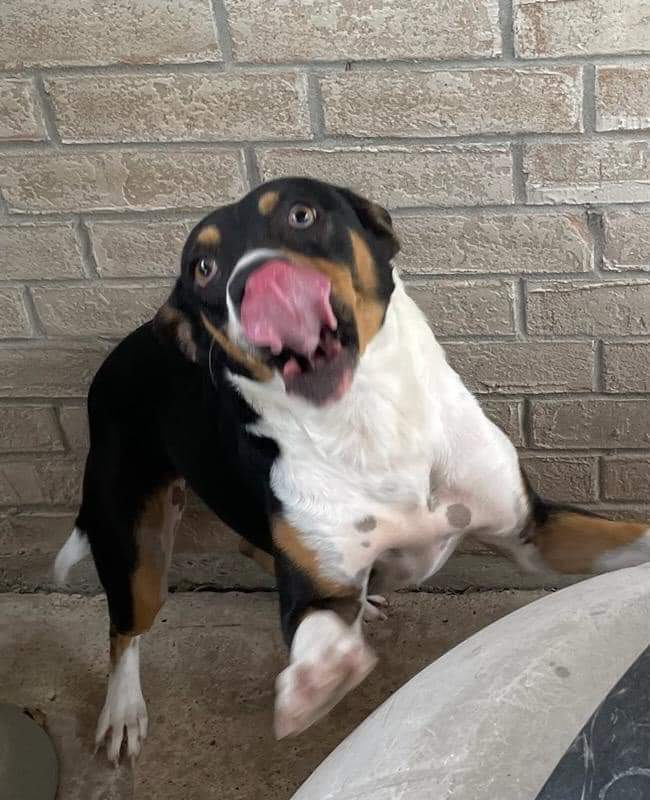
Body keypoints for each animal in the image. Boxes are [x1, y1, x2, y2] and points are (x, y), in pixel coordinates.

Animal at [54, 177, 648, 764]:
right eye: (204, 266)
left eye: (302, 214)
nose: (256, 281)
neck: (372, 422)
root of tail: (132, 343)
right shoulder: (314, 592)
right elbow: (316, 628)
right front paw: (319, 675)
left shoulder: (532, 533)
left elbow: (631, 537)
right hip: (135, 542)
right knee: (126, 628)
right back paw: (123, 712)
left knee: (249, 544)